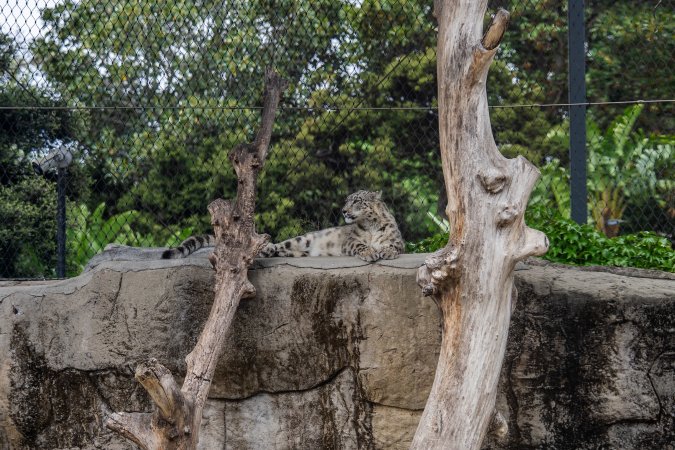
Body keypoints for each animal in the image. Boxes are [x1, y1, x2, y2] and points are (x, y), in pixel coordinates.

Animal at [161, 190, 404, 262]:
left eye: (357, 201)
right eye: (347, 200)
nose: (344, 211)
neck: (370, 227)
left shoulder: (397, 240)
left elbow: (393, 246)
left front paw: (385, 252)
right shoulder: (351, 240)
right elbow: (360, 245)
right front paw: (370, 252)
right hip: (300, 239)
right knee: (275, 247)